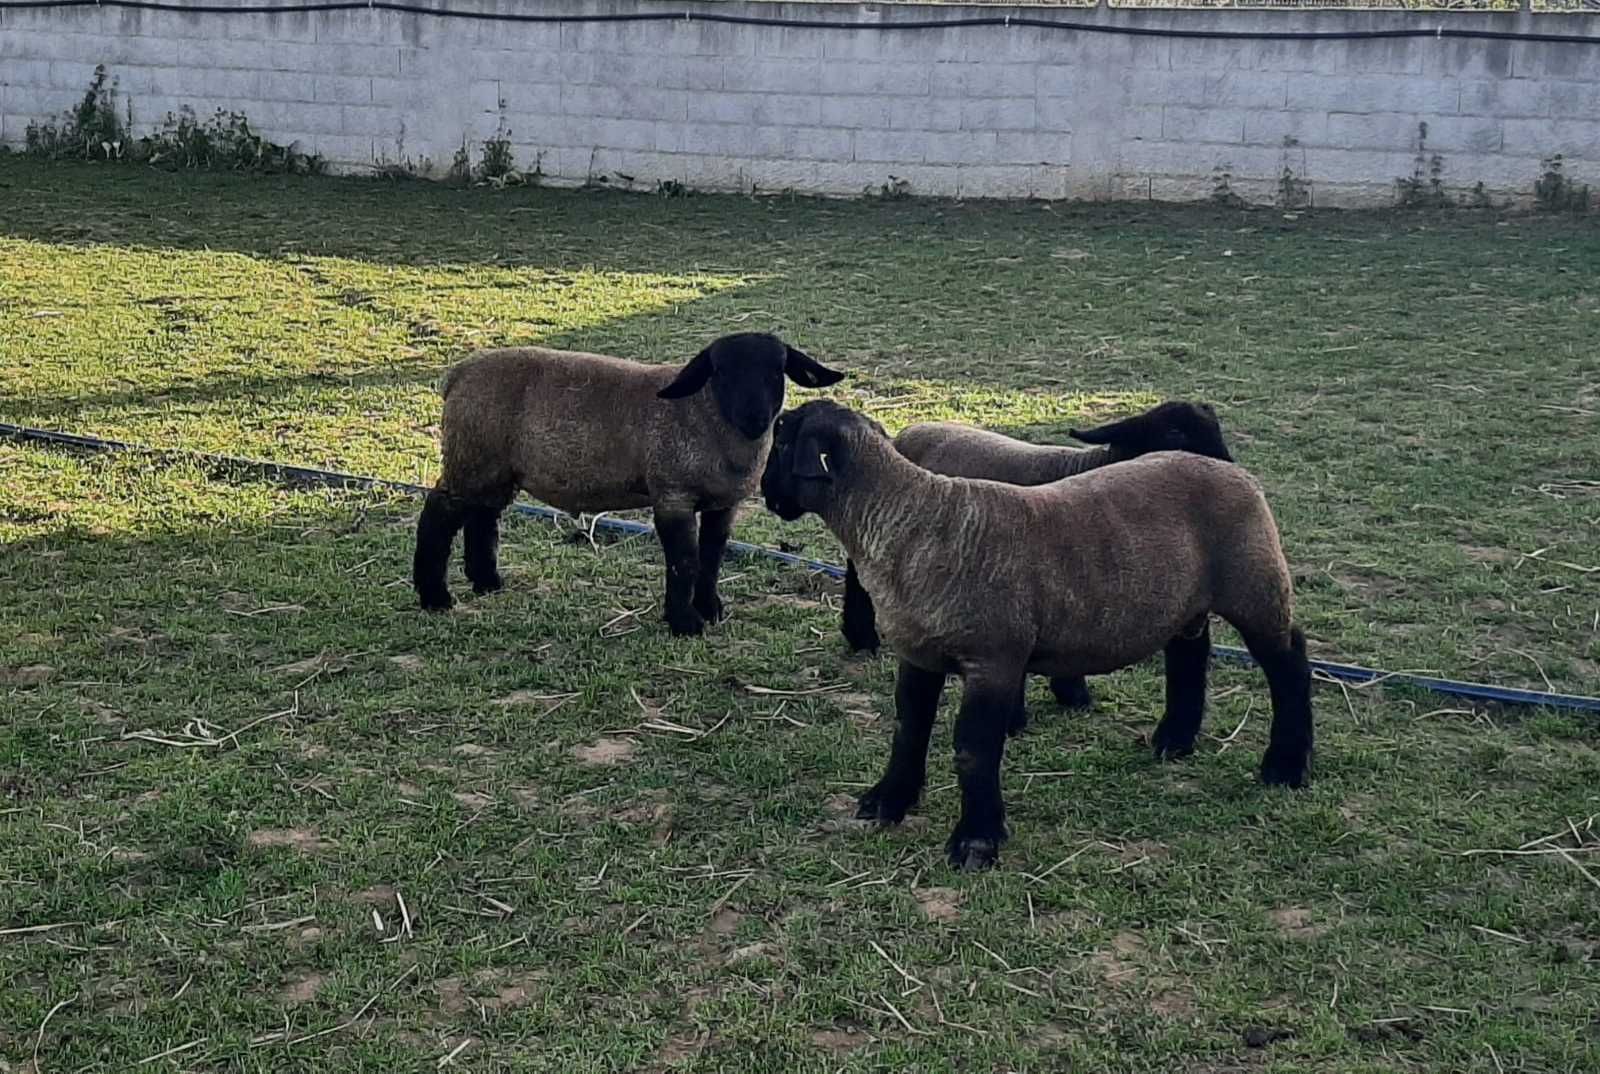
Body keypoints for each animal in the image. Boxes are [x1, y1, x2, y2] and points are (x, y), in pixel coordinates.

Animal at [409, 331, 851, 633]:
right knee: (438, 515)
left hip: (495, 468)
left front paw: (710, 609)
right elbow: (684, 560)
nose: (755, 418)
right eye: (721, 371)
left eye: (777, 371)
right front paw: (684, 622)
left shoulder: (723, 504)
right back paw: (435, 597)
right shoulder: (672, 494)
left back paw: (487, 582)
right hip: (471, 458)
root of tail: (459, 374)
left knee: (483, 517)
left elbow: (711, 556)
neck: (706, 415)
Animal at [838, 403, 1235, 723]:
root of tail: (907, 432)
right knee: (857, 578)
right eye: (1174, 432)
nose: (1230, 474)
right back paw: (862, 638)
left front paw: (1071, 695)